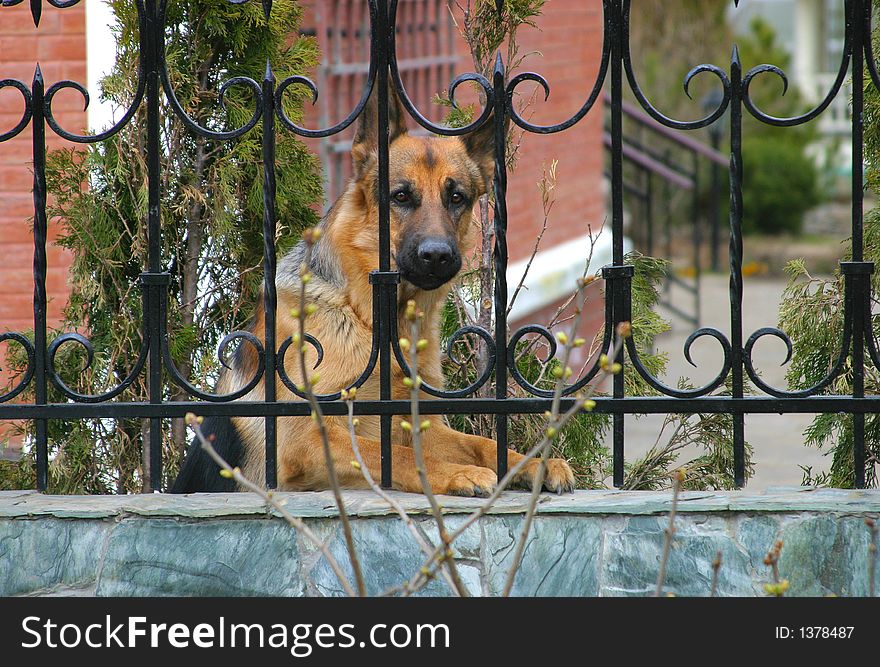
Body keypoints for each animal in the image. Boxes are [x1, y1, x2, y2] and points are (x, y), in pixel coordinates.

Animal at [172, 85, 576, 496]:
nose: (437, 255)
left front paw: (531, 463)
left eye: (457, 198)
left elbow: (482, 443)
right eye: (401, 196)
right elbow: (394, 455)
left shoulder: (417, 422)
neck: (369, 317)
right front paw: (458, 473)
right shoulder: (308, 438)